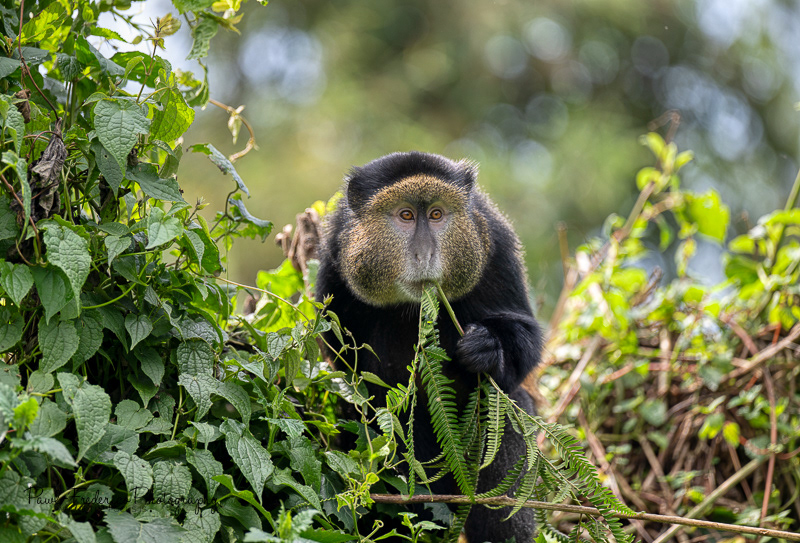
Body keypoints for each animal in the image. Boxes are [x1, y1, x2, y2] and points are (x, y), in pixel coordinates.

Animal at [316, 151, 542, 543]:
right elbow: (361, 394)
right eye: (406, 215)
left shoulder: (495, 244)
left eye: (436, 214)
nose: (425, 253)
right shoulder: (334, 264)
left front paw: (486, 348)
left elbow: (525, 340)